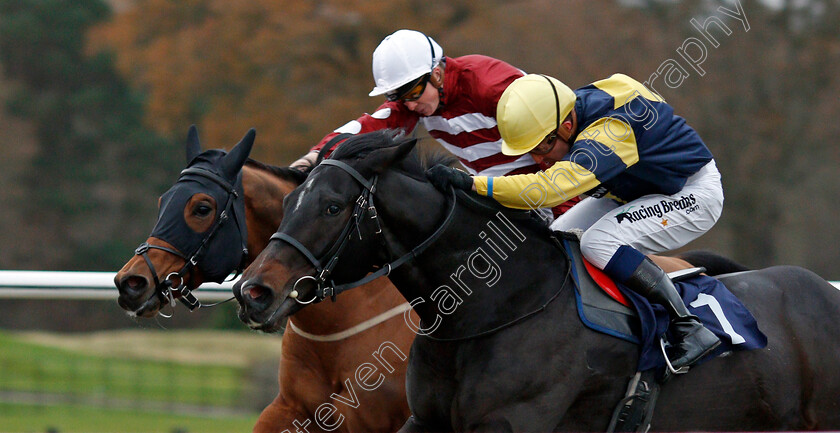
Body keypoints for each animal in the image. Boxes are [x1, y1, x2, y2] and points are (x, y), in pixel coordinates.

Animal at [235, 129, 840, 432]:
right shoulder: (426, 421)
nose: (253, 292)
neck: (494, 307)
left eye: (333, 207)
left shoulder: (512, 423)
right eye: (288, 202)